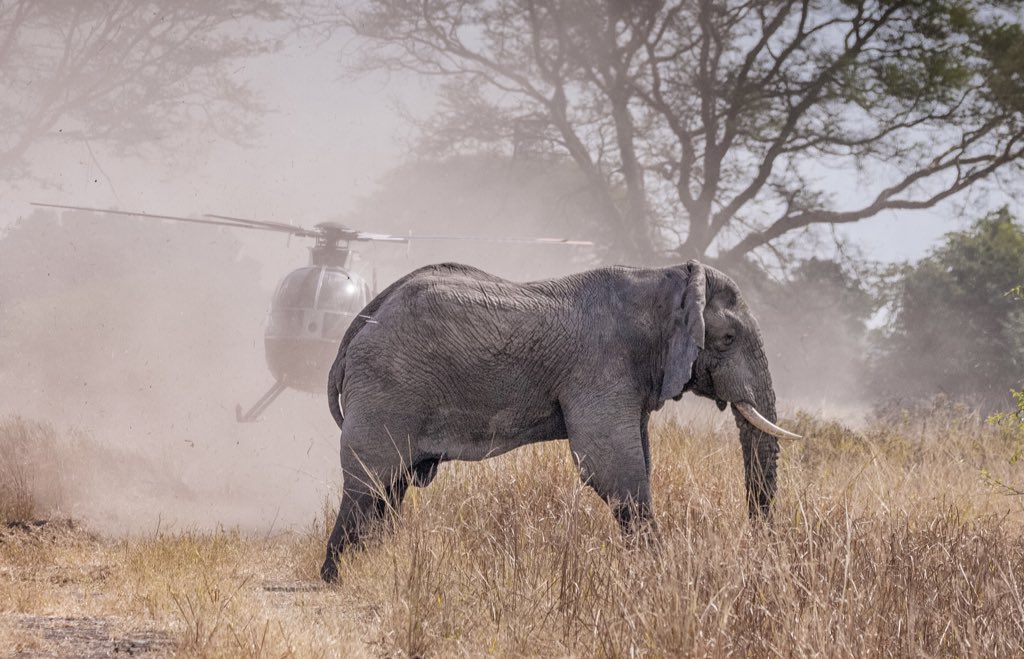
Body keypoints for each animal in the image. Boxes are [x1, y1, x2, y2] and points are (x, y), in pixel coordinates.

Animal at [320, 260, 799, 582]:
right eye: (728, 338)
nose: (760, 547)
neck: (664, 279)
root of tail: (355, 329)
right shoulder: (601, 368)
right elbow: (611, 467)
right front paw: (657, 569)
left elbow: (638, 461)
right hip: (387, 388)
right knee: (368, 481)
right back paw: (335, 575)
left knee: (390, 486)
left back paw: (370, 561)